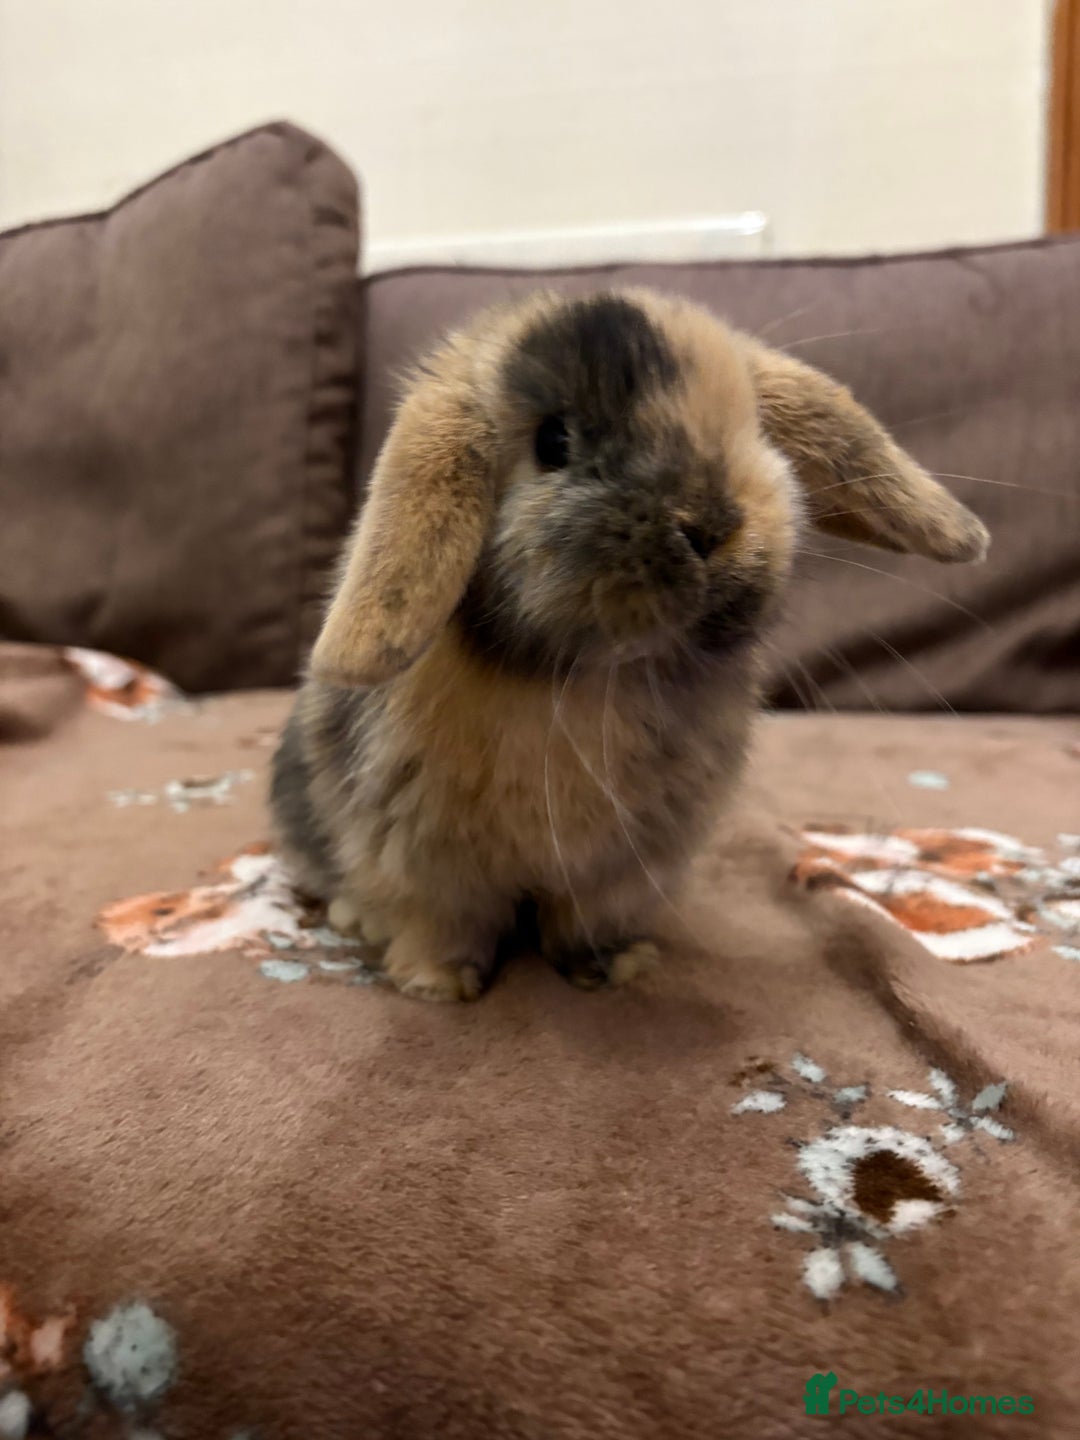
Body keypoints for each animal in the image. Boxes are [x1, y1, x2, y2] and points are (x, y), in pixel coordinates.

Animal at [271, 287, 988, 1002]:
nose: (710, 525)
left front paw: (619, 969)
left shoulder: (623, 867)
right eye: (552, 440)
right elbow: (443, 923)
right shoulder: (426, 860)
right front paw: (437, 986)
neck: (591, 677)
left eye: (749, 424)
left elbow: (586, 922)